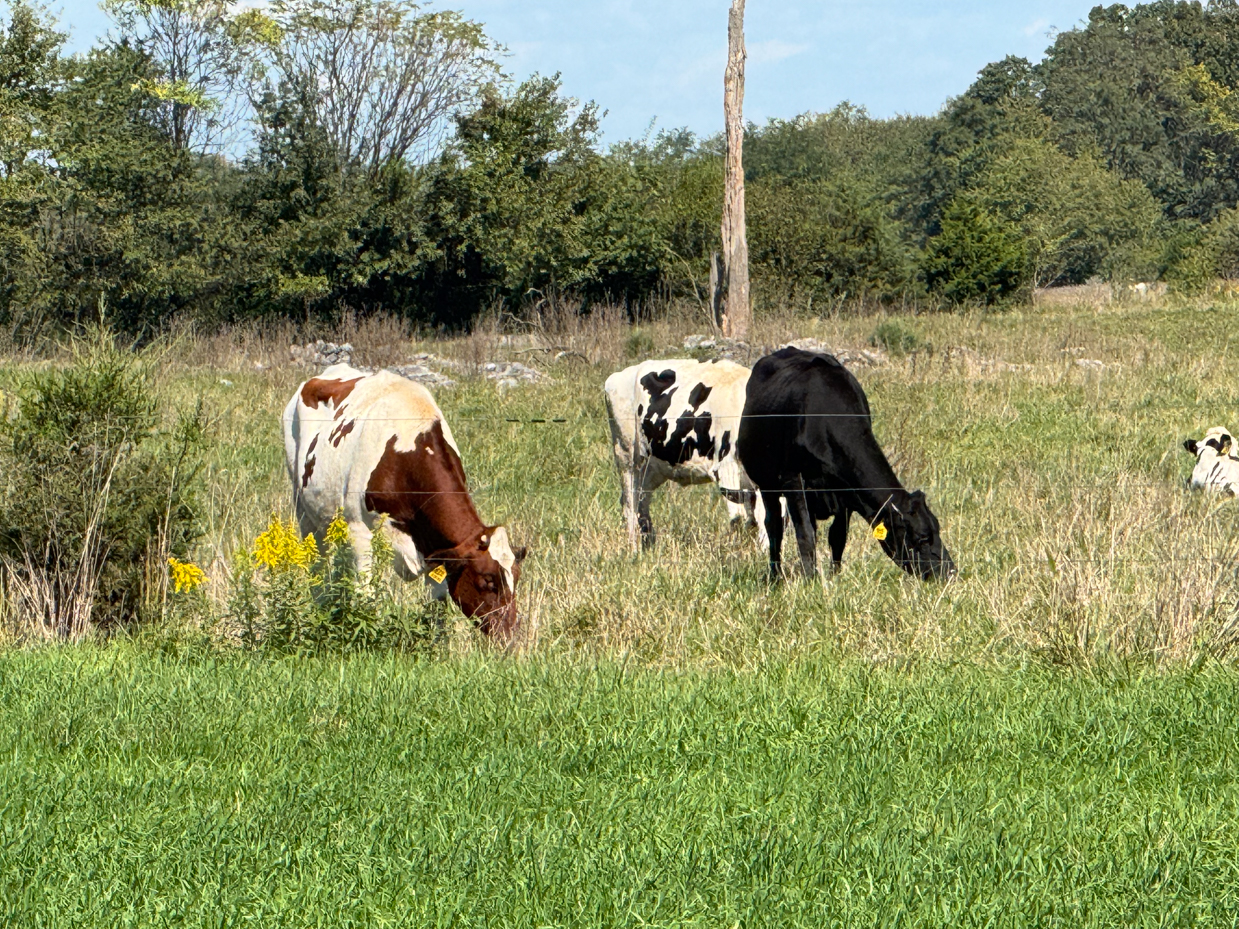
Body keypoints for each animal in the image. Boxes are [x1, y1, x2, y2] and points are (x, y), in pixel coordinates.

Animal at [283, 364, 525, 639]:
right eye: (488, 580)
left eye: (516, 578)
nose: (511, 636)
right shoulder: (360, 533)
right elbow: (366, 596)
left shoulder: (435, 551)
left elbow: (437, 608)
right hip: (304, 510)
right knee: (318, 565)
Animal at [599, 359, 763, 549]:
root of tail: (618, 375)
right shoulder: (726, 469)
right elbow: (740, 518)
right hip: (627, 456)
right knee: (630, 505)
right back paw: (634, 549)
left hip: (653, 467)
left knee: (642, 503)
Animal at [733, 346, 956, 582]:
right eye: (922, 537)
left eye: (937, 529)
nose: (951, 573)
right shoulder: (792, 478)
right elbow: (804, 534)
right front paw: (810, 581)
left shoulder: (846, 490)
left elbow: (837, 536)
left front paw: (834, 576)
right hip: (766, 482)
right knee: (774, 526)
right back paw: (775, 576)